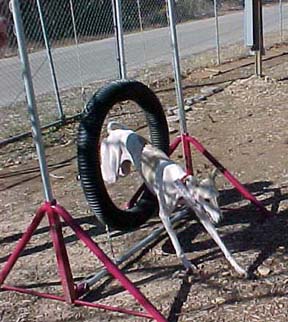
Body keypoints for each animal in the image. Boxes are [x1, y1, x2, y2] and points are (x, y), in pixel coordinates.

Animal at [101, 121, 248, 276]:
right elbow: (178, 248)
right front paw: (188, 265)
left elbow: (222, 245)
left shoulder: (201, 213)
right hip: (111, 174)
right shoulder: (164, 216)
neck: (179, 182)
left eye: (217, 198)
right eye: (207, 199)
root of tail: (115, 132)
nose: (220, 219)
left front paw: (238, 267)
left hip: (124, 170)